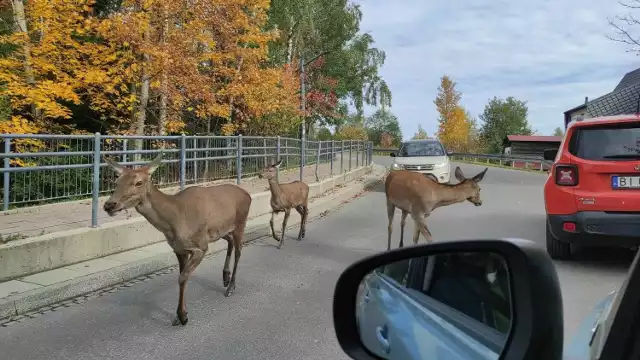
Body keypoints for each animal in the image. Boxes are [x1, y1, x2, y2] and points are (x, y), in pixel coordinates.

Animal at [101, 155, 251, 326]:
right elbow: (181, 277)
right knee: (230, 241)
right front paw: (179, 315)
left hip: (240, 223)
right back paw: (225, 277)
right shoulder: (179, 249)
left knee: (239, 251)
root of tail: (248, 195)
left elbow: (182, 278)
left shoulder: (201, 246)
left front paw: (182, 316)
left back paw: (230, 287)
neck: (175, 221)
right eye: (117, 181)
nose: (109, 204)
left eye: (139, 182)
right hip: (219, 230)